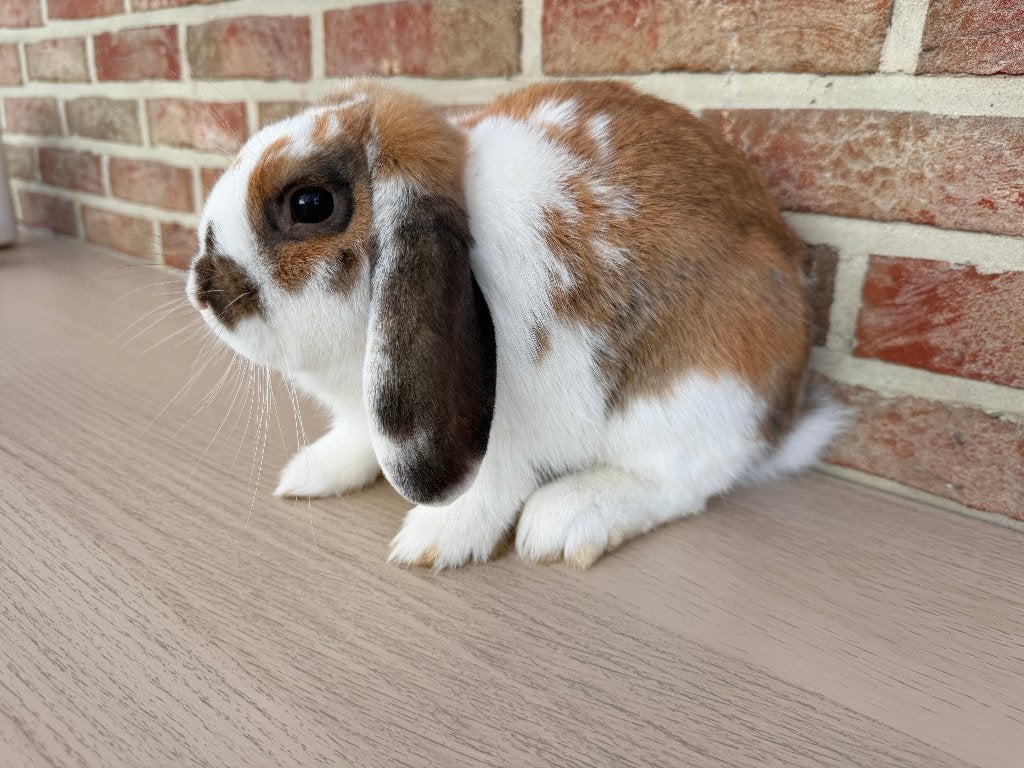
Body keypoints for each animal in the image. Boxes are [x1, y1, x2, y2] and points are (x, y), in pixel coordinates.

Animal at [186, 79, 845, 570]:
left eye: (310, 204)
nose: (202, 287)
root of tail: (783, 420)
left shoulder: (503, 432)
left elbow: (486, 487)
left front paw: (431, 540)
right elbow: (356, 439)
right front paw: (309, 475)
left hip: (692, 395)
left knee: (681, 484)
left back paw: (565, 520)